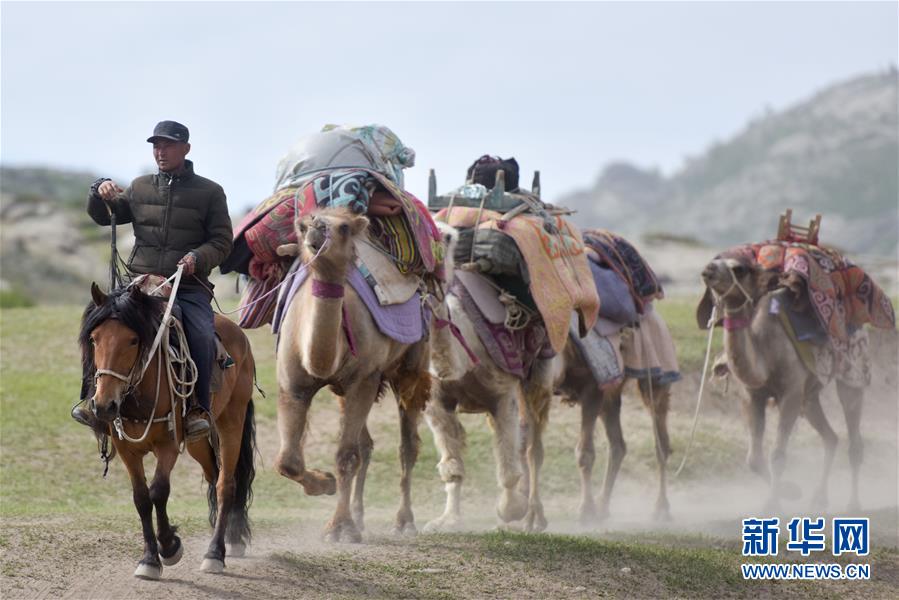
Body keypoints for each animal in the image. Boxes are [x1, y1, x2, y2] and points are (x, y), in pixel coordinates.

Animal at [80, 284, 256, 580]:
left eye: (133, 340)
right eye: (94, 339)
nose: (104, 405)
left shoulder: (168, 445)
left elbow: (158, 491)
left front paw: (169, 546)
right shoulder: (127, 449)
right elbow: (141, 498)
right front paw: (150, 557)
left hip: (232, 420)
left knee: (226, 485)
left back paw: (215, 553)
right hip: (197, 440)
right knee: (213, 474)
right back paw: (228, 539)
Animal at [272, 206, 430, 540]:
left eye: (344, 228)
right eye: (302, 226)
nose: (317, 227)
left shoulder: (364, 380)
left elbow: (346, 456)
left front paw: (339, 528)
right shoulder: (293, 386)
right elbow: (288, 460)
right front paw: (325, 484)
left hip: (411, 364)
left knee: (407, 445)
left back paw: (404, 522)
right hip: (345, 390)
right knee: (366, 445)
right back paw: (359, 515)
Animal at [700, 256, 868, 510]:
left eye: (739, 269)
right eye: (715, 260)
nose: (708, 269)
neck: (764, 351)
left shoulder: (790, 393)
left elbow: (778, 454)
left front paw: (772, 505)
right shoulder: (751, 396)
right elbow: (753, 458)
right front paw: (791, 492)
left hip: (851, 374)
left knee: (854, 439)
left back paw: (853, 505)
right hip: (809, 396)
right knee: (830, 437)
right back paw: (819, 498)